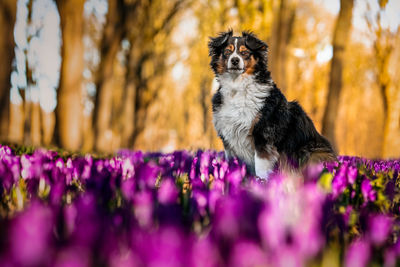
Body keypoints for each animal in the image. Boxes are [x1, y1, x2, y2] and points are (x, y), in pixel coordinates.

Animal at [208, 29, 336, 180]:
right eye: (227, 52)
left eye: (245, 53)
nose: (235, 60)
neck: (237, 87)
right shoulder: (228, 139)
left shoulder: (263, 136)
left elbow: (261, 167)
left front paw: (262, 183)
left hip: (311, 152)